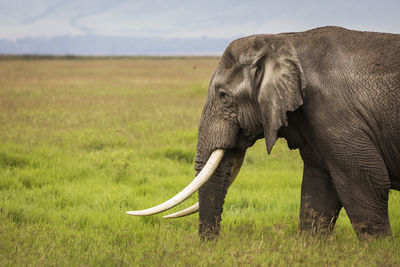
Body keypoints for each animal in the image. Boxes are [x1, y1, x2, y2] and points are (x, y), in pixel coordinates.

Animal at [128, 26, 400, 241]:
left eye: (224, 96)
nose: (212, 248)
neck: (285, 41)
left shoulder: (336, 114)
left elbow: (367, 181)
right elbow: (318, 193)